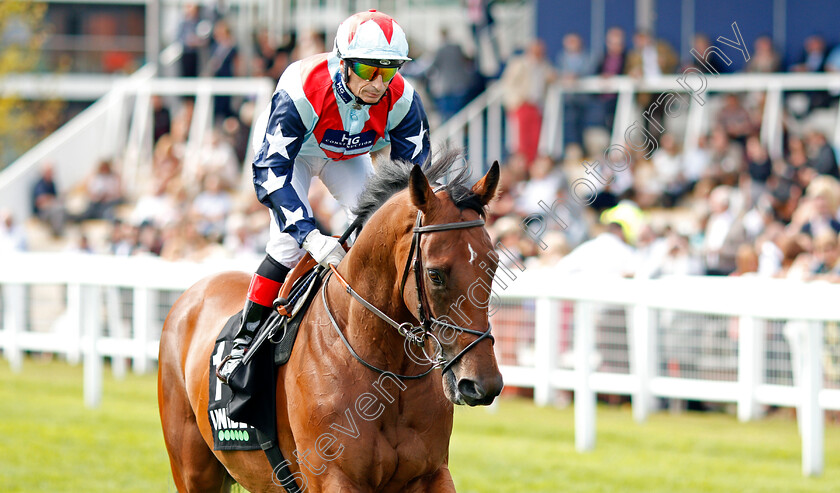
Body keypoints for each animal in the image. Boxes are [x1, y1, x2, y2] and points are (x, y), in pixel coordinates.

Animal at [159, 152, 506, 490]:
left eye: (494, 264)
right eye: (435, 274)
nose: (481, 384)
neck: (385, 370)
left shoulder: (431, 473)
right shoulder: (333, 477)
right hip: (192, 470)